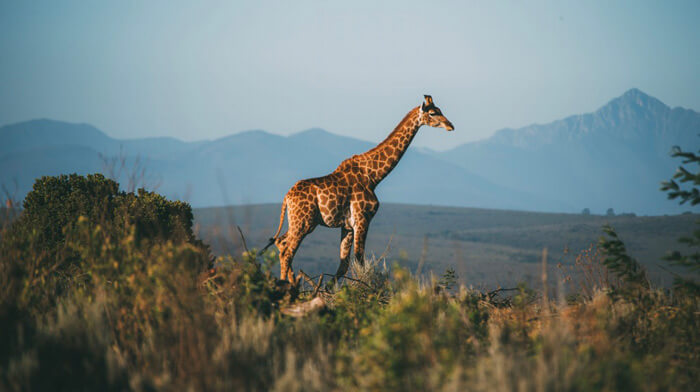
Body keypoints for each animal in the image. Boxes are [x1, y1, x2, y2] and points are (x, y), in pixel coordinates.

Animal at [266, 96, 454, 284]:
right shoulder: (363, 218)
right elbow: (359, 260)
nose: (451, 125)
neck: (373, 176)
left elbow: (344, 264)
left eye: (440, 110)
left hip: (298, 221)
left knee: (281, 243)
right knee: (287, 252)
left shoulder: (348, 226)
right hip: (304, 222)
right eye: (433, 113)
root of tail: (287, 198)